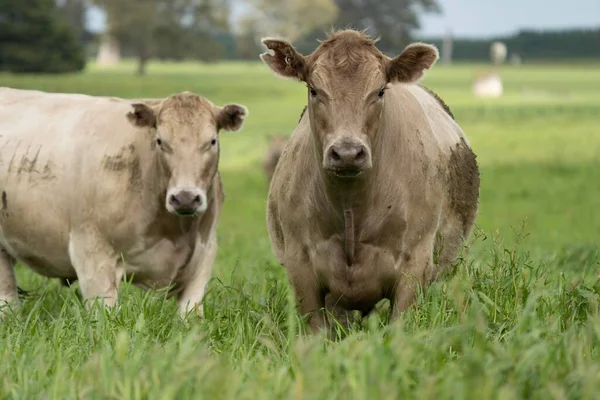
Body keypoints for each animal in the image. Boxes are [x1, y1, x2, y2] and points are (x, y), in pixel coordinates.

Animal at [260, 28, 480, 334]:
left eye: (380, 91)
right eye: (314, 90)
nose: (348, 153)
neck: (352, 208)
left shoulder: (415, 266)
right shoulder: (300, 266)